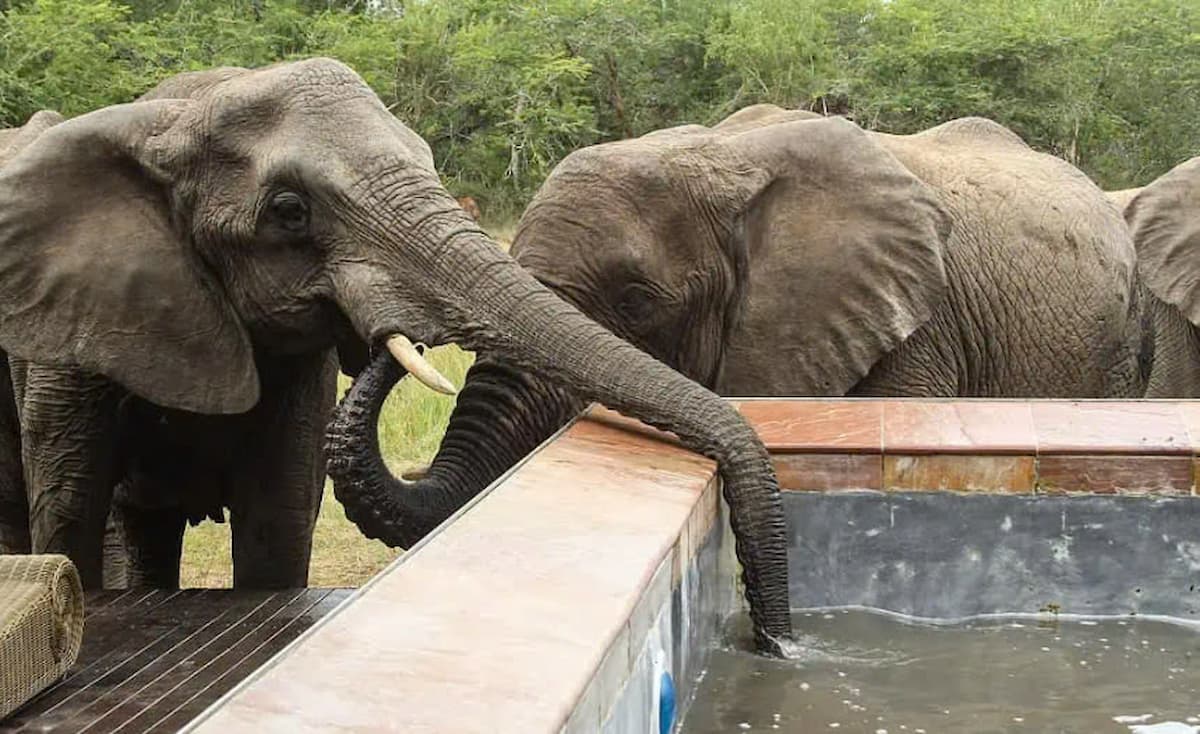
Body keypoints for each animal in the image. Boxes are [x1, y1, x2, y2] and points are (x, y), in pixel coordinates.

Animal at [0, 60, 787, 652]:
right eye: (289, 211)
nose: (774, 638)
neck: (185, 108)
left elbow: (277, 525)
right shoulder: (74, 328)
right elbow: (66, 513)